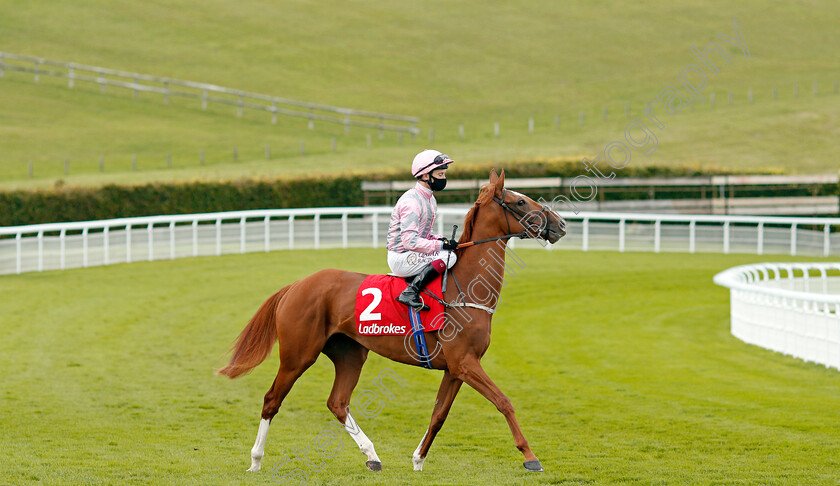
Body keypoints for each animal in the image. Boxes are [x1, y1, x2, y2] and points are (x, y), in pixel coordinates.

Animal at [220, 168, 568, 474]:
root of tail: (296, 285)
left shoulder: (456, 368)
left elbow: (439, 415)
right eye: (520, 201)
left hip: (350, 353)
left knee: (338, 402)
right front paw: (531, 457)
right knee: (272, 400)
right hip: (298, 355)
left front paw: (418, 460)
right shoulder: (465, 362)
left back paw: (372, 456)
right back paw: (255, 460)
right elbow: (504, 402)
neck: (464, 287)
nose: (561, 224)